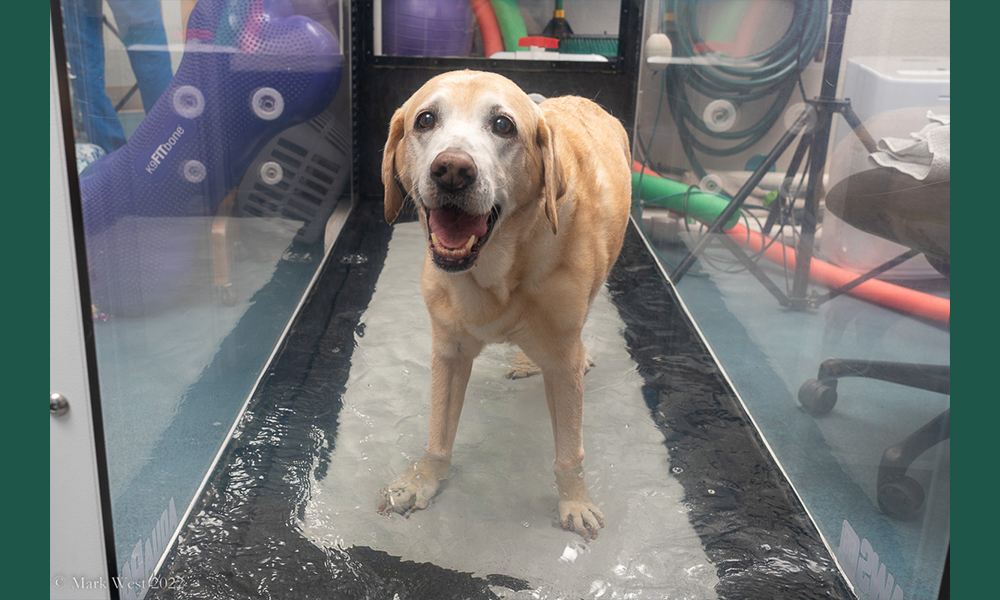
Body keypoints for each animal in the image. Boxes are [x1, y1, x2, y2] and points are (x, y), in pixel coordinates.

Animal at [378, 70, 628, 540]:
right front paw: (421, 481)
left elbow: (569, 454)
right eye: (425, 119)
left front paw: (575, 502)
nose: (452, 170)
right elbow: (438, 437)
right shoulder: (449, 352)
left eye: (503, 125)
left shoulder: (562, 363)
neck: (494, 276)